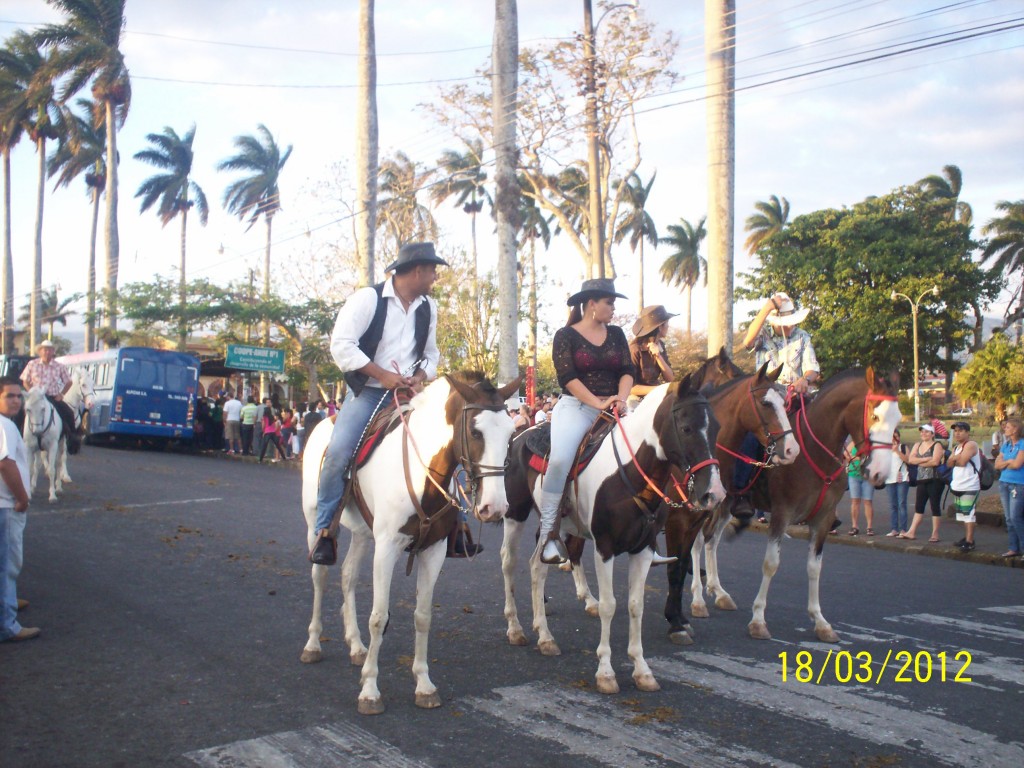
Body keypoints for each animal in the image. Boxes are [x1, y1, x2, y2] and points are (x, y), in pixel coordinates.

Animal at [299, 372, 520, 716]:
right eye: (475, 431)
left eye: (511, 434)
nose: (495, 507)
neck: (423, 477)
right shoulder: (386, 547)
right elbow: (379, 617)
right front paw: (370, 691)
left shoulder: (434, 551)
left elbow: (423, 616)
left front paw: (424, 685)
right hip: (316, 523)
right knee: (320, 576)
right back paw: (312, 645)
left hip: (362, 533)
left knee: (348, 576)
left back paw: (356, 646)